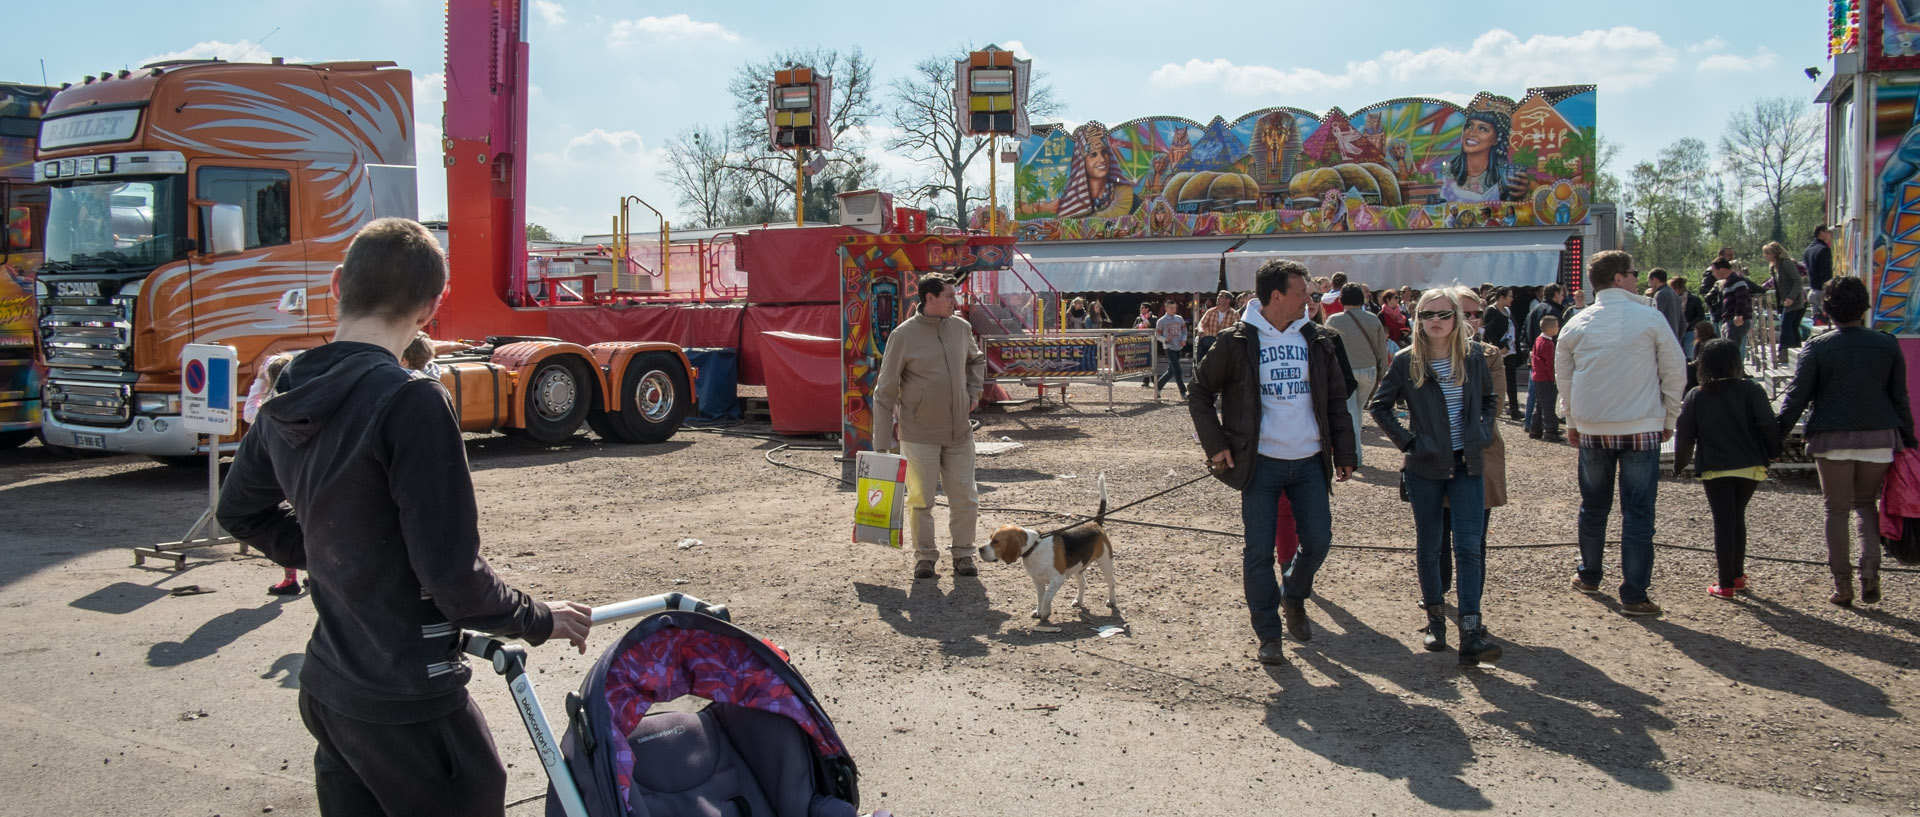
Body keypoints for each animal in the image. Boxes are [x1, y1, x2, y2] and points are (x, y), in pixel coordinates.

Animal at [983, 475, 1121, 636]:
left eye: (996, 541)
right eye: (990, 538)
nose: (980, 549)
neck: (1034, 547)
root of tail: (1095, 523)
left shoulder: (1058, 579)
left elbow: (1047, 596)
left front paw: (1044, 613)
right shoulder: (1037, 580)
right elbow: (1040, 597)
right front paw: (1038, 611)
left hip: (1105, 562)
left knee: (1111, 582)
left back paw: (1112, 601)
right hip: (1078, 567)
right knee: (1083, 583)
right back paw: (1078, 600)